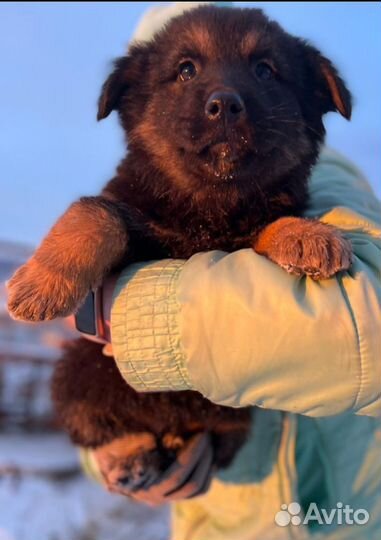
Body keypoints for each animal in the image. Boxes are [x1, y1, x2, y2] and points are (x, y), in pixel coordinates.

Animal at [6, 4, 350, 494]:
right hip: (76, 371)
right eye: (186, 70)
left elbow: (266, 224)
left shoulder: (245, 228)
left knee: (214, 436)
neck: (208, 208)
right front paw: (41, 282)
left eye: (265, 71)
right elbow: (95, 212)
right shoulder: (134, 213)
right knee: (101, 427)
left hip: (234, 414)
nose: (225, 105)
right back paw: (132, 456)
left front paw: (307, 235)